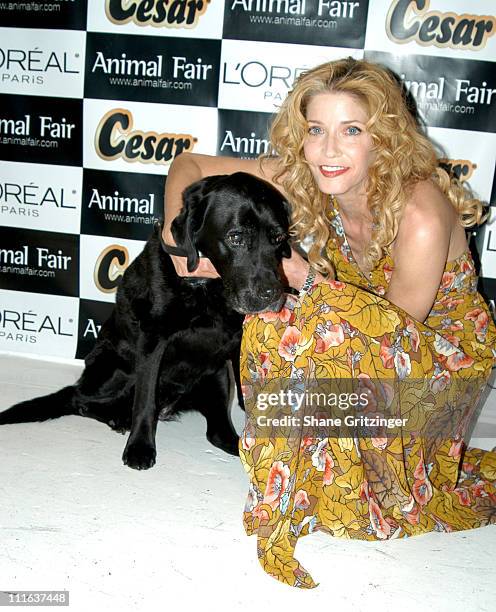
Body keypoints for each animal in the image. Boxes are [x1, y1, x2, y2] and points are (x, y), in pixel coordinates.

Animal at [0, 172, 290, 468]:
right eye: (236, 237)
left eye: (278, 238)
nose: (272, 293)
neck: (209, 287)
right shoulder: (153, 341)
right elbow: (144, 401)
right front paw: (140, 446)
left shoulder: (234, 341)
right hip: (116, 369)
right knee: (78, 399)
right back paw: (116, 418)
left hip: (216, 374)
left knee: (216, 432)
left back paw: (235, 444)